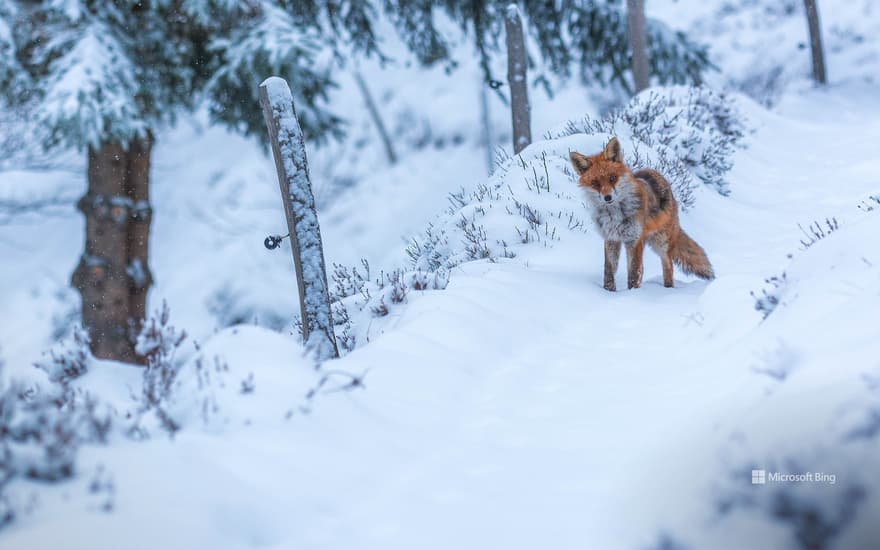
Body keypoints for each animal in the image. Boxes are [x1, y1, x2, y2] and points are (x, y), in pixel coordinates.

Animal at [572, 137, 716, 294]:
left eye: (612, 178)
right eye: (595, 183)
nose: (607, 197)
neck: (614, 215)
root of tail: (655, 173)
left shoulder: (634, 240)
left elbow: (634, 273)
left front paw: (633, 294)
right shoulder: (611, 239)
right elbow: (609, 271)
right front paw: (608, 292)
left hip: (661, 243)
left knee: (668, 266)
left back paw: (668, 290)